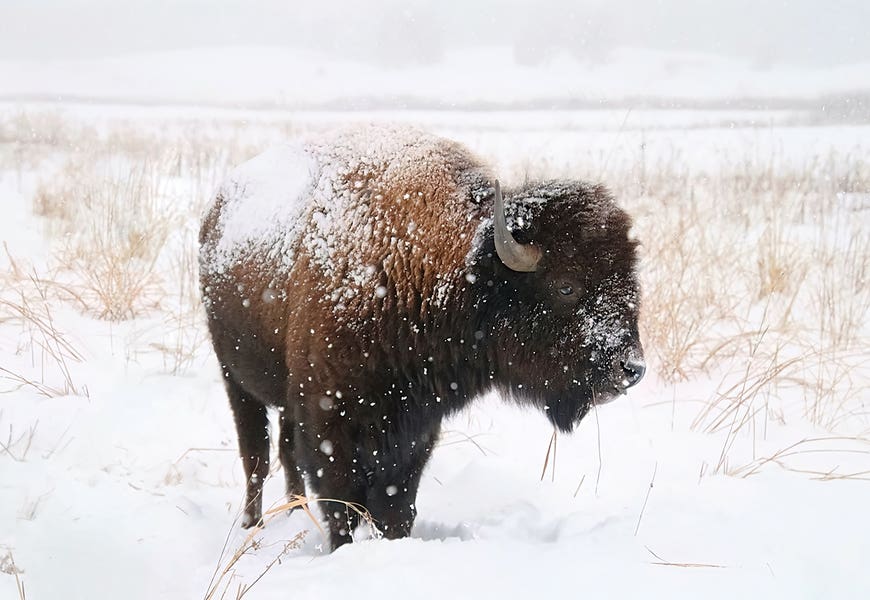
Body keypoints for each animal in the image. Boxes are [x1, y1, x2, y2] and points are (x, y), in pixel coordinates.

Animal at [199, 124, 644, 550]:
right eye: (566, 286)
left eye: (630, 282)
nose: (632, 368)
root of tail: (216, 209)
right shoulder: (328, 421)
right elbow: (342, 507)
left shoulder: (415, 430)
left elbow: (397, 507)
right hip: (235, 381)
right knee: (256, 458)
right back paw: (253, 526)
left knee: (285, 452)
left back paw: (294, 512)